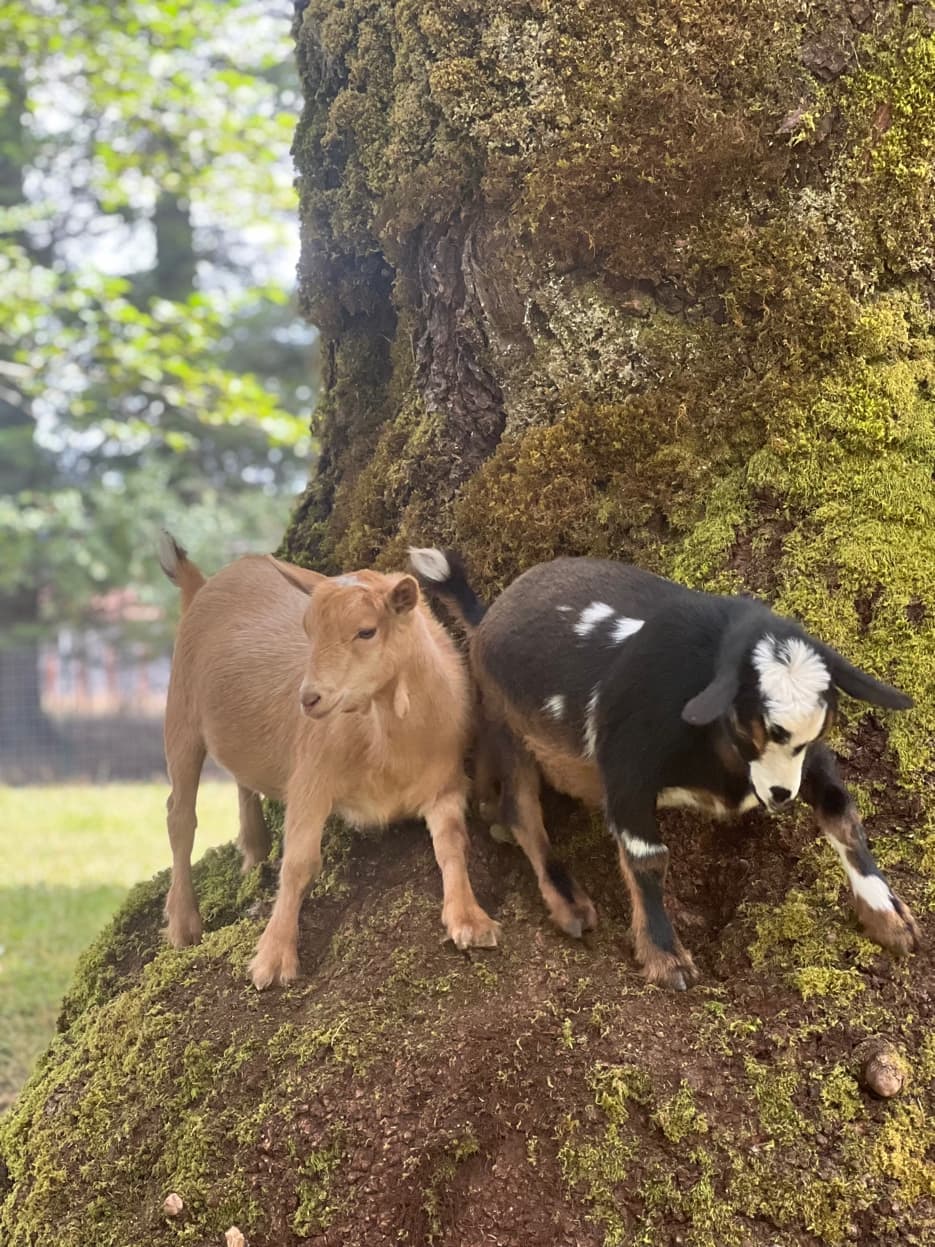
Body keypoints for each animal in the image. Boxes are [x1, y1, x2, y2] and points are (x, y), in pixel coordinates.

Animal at [158, 534, 499, 989]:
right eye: (309, 631)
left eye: (366, 631)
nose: (309, 698)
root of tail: (203, 583)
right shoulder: (311, 779)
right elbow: (300, 863)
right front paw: (272, 958)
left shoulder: (445, 782)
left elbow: (452, 842)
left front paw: (470, 921)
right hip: (180, 712)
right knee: (180, 815)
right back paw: (183, 924)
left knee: (241, 779)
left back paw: (254, 847)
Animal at [410, 548, 920, 991]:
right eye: (747, 722)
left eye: (823, 722)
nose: (779, 796)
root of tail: (488, 616)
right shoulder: (626, 769)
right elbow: (647, 857)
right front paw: (665, 958)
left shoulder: (807, 761)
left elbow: (839, 809)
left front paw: (890, 918)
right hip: (508, 727)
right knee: (522, 811)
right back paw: (568, 901)